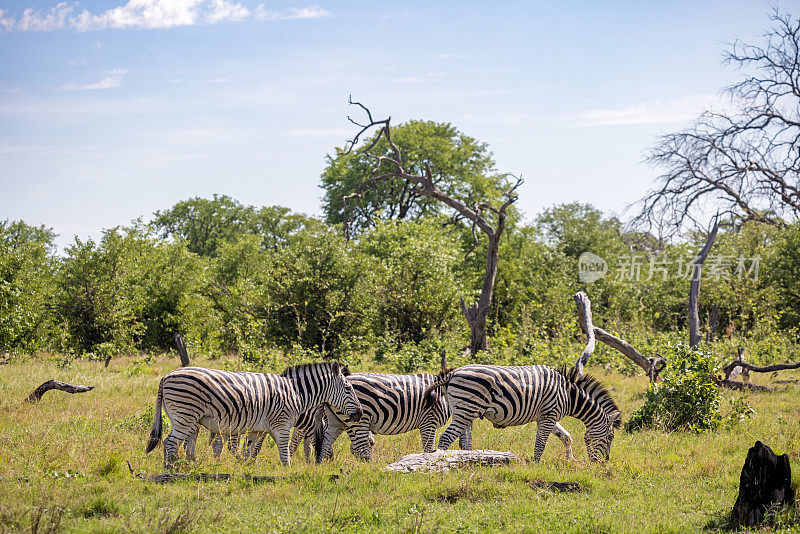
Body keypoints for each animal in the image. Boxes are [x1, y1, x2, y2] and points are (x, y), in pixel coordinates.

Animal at [145, 364, 364, 468]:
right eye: (348, 388)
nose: (360, 413)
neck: (296, 393)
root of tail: (166, 376)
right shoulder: (281, 425)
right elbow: (284, 453)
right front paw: (287, 472)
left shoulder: (258, 428)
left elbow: (248, 450)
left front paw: (246, 468)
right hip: (185, 416)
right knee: (170, 442)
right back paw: (171, 469)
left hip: (188, 419)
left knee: (183, 444)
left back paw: (186, 465)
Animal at [314, 372, 454, 464]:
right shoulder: (429, 420)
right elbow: (428, 448)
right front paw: (428, 462)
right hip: (359, 418)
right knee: (361, 446)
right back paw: (368, 468)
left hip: (338, 421)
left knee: (327, 441)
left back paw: (323, 465)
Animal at [422, 366, 620, 462]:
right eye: (610, 437)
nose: (604, 462)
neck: (568, 395)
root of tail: (452, 373)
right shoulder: (549, 415)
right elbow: (540, 444)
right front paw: (536, 464)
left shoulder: (548, 416)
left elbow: (566, 437)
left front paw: (569, 460)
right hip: (465, 409)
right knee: (445, 439)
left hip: (465, 412)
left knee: (464, 443)